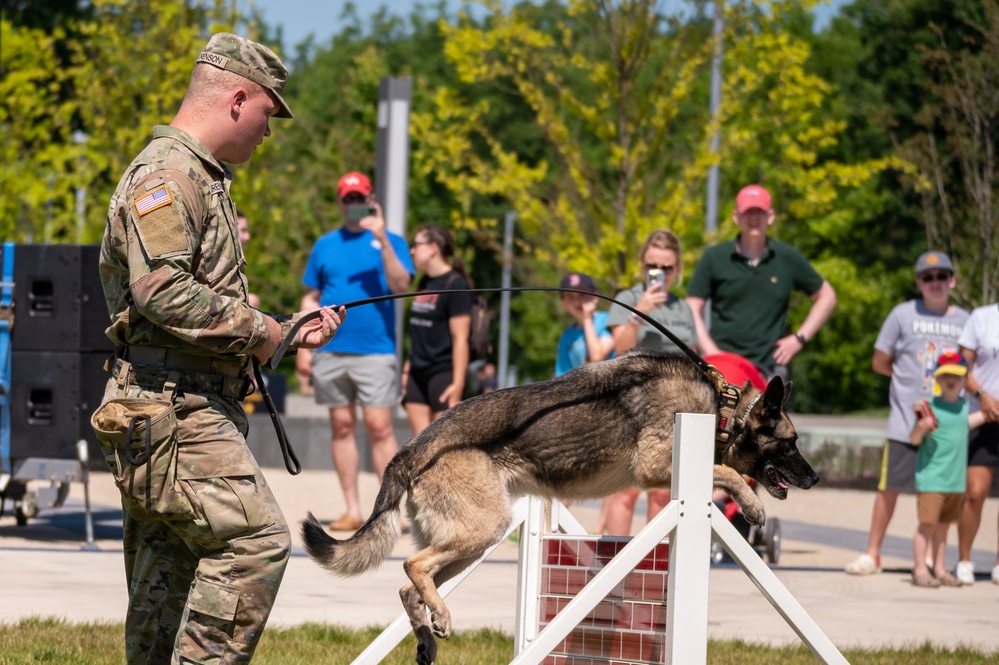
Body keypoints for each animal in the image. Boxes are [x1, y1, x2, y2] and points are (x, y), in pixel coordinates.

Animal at [302, 350, 820, 660]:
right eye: (790, 444)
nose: (815, 479)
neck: (723, 409)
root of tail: (410, 450)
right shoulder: (656, 467)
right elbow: (726, 472)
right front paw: (752, 506)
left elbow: (725, 470)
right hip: (483, 528)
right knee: (413, 566)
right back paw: (439, 619)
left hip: (474, 538)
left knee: (410, 587)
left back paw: (429, 634)